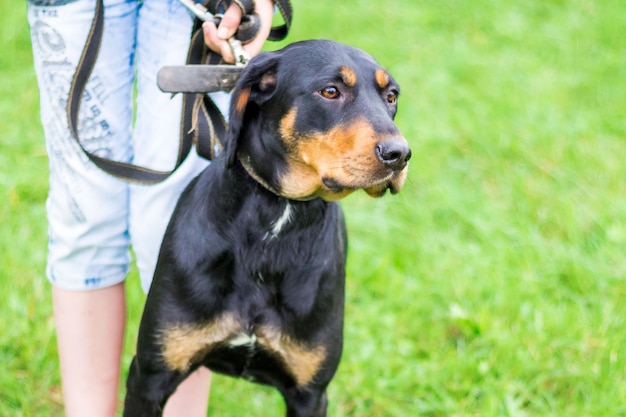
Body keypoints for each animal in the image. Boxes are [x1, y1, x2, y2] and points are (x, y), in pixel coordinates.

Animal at [123, 39, 410, 416]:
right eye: (330, 91)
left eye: (391, 96)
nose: (399, 154)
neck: (274, 225)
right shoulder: (149, 378)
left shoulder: (309, 394)